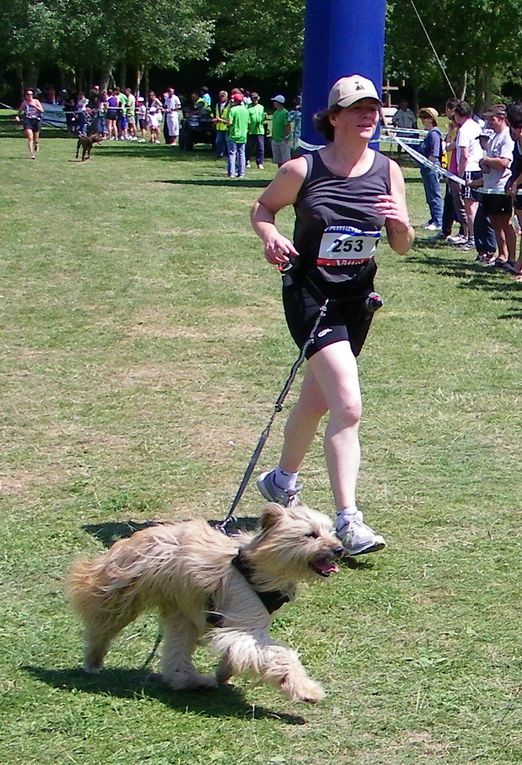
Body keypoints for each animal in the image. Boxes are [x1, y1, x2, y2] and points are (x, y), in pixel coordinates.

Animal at [69, 504, 344, 700]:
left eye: (331, 532)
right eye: (311, 535)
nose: (340, 549)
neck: (256, 568)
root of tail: (127, 540)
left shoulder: (246, 627)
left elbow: (239, 653)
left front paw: (224, 672)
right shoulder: (242, 624)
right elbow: (281, 655)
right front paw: (307, 690)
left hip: (182, 613)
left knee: (176, 654)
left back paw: (191, 681)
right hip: (122, 596)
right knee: (101, 627)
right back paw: (93, 661)